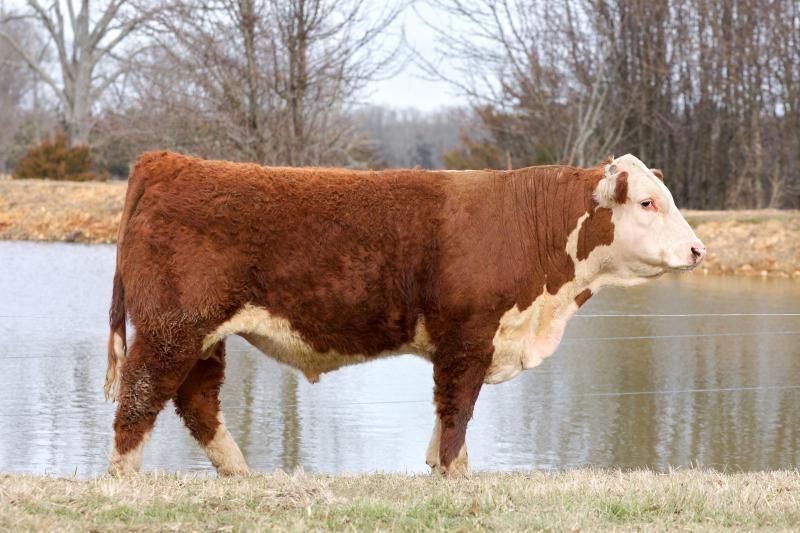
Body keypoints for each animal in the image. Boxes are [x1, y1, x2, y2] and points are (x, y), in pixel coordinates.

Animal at [104, 152, 706, 477]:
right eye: (648, 202)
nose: (699, 250)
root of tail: (167, 162)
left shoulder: (464, 345)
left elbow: (448, 418)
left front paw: (446, 471)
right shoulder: (467, 338)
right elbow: (457, 412)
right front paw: (453, 477)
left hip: (203, 336)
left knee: (197, 402)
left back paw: (243, 475)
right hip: (171, 329)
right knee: (139, 401)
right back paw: (125, 481)